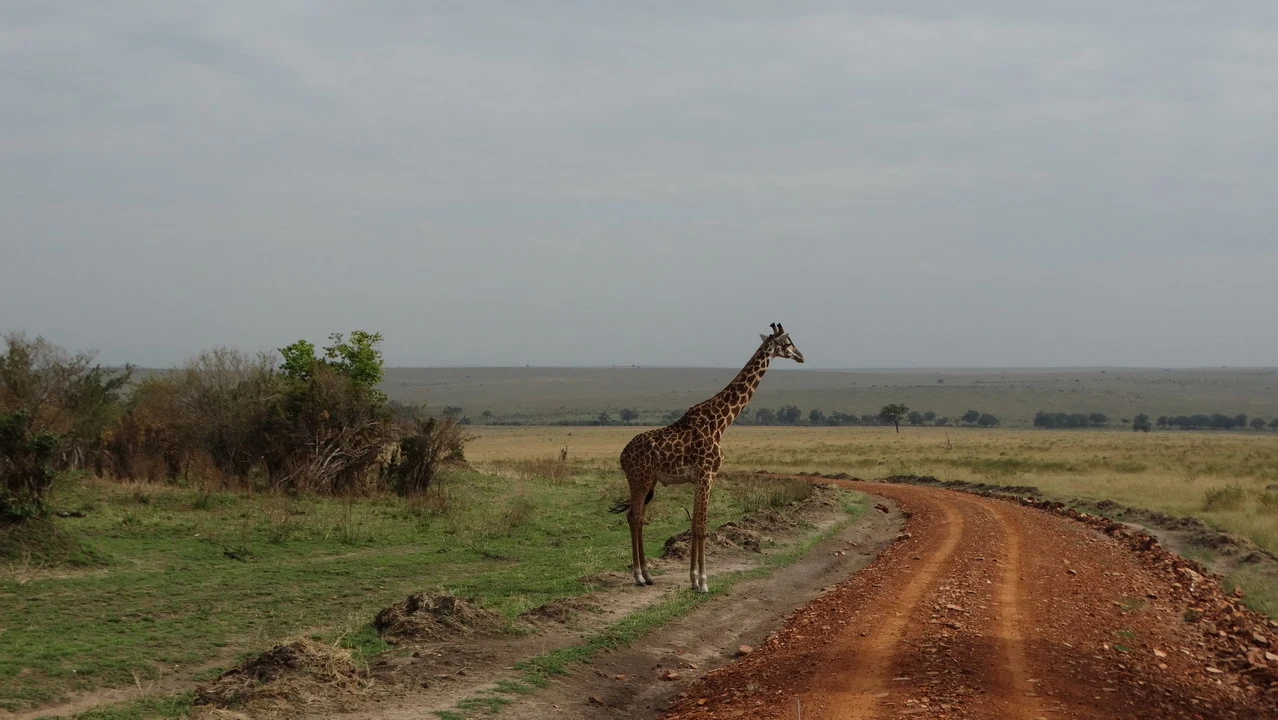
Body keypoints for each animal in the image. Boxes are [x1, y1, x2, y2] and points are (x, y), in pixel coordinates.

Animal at [613, 323, 805, 593]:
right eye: (787, 343)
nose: (801, 356)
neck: (720, 423)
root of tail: (622, 456)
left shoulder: (701, 478)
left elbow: (695, 525)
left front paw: (694, 579)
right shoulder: (707, 474)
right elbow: (701, 526)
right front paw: (703, 582)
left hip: (648, 481)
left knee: (636, 518)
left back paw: (648, 575)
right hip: (640, 479)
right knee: (635, 517)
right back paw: (640, 576)